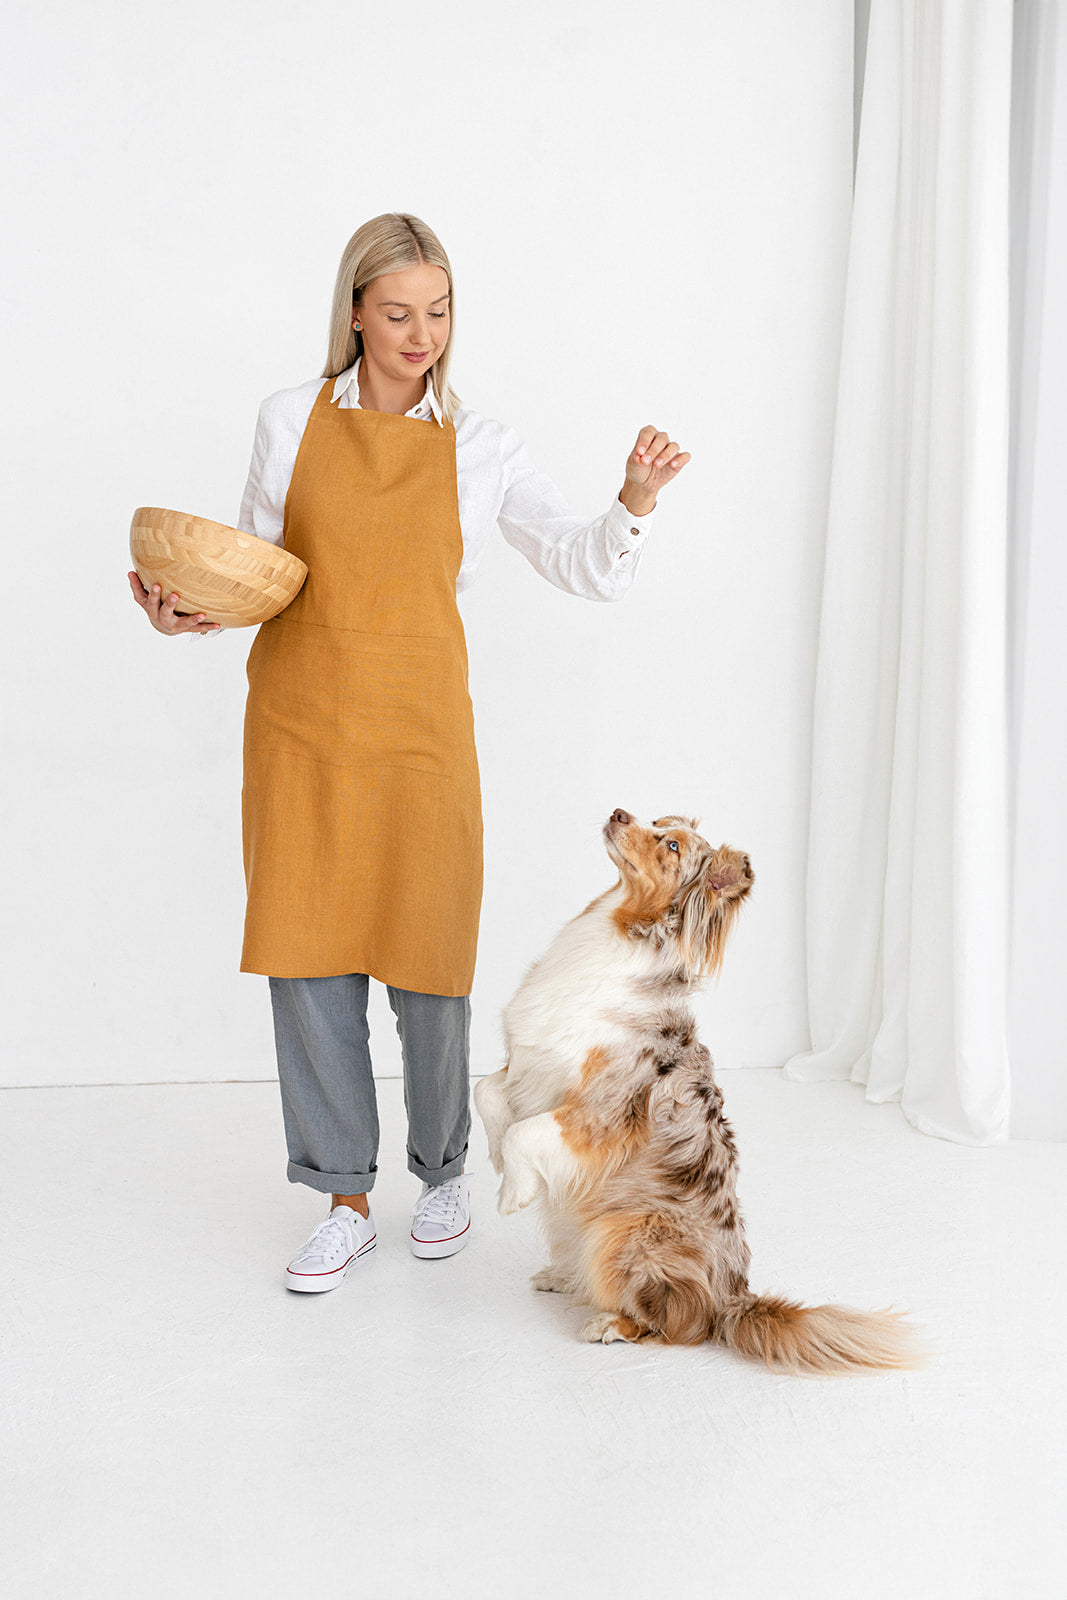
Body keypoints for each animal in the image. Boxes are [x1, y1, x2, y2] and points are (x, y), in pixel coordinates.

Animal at [479, 812, 927, 1376]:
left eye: (671, 845)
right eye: (657, 821)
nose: (619, 813)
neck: (620, 931)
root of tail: (733, 1298)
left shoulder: (606, 1109)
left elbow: (526, 1129)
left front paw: (511, 1192)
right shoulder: (530, 1060)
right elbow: (487, 1093)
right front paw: (498, 1157)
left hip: (624, 1232)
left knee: (679, 1324)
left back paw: (614, 1323)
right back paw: (563, 1275)